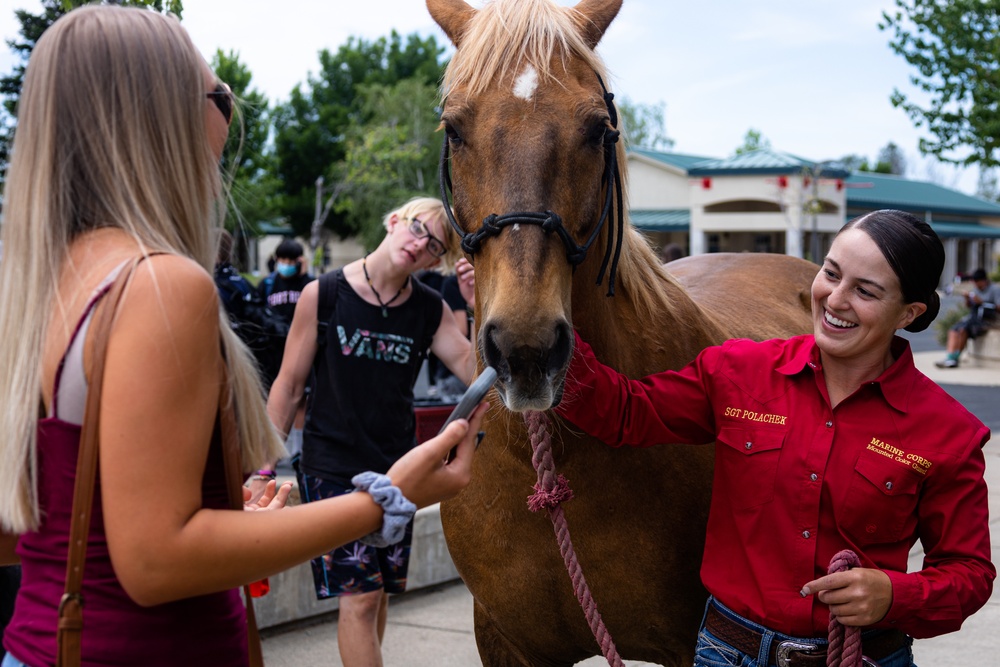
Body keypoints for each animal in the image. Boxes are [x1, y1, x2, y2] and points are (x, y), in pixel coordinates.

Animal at [428, 2, 820, 664]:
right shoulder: (506, 642)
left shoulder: (692, 639)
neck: (556, 460)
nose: (527, 350)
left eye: (597, 129)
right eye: (454, 130)